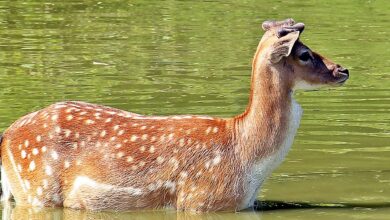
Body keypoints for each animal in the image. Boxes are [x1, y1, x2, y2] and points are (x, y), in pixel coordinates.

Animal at [0, 18, 348, 211]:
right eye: (304, 54)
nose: (342, 70)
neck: (246, 158)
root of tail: (6, 136)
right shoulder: (199, 201)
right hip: (38, 190)